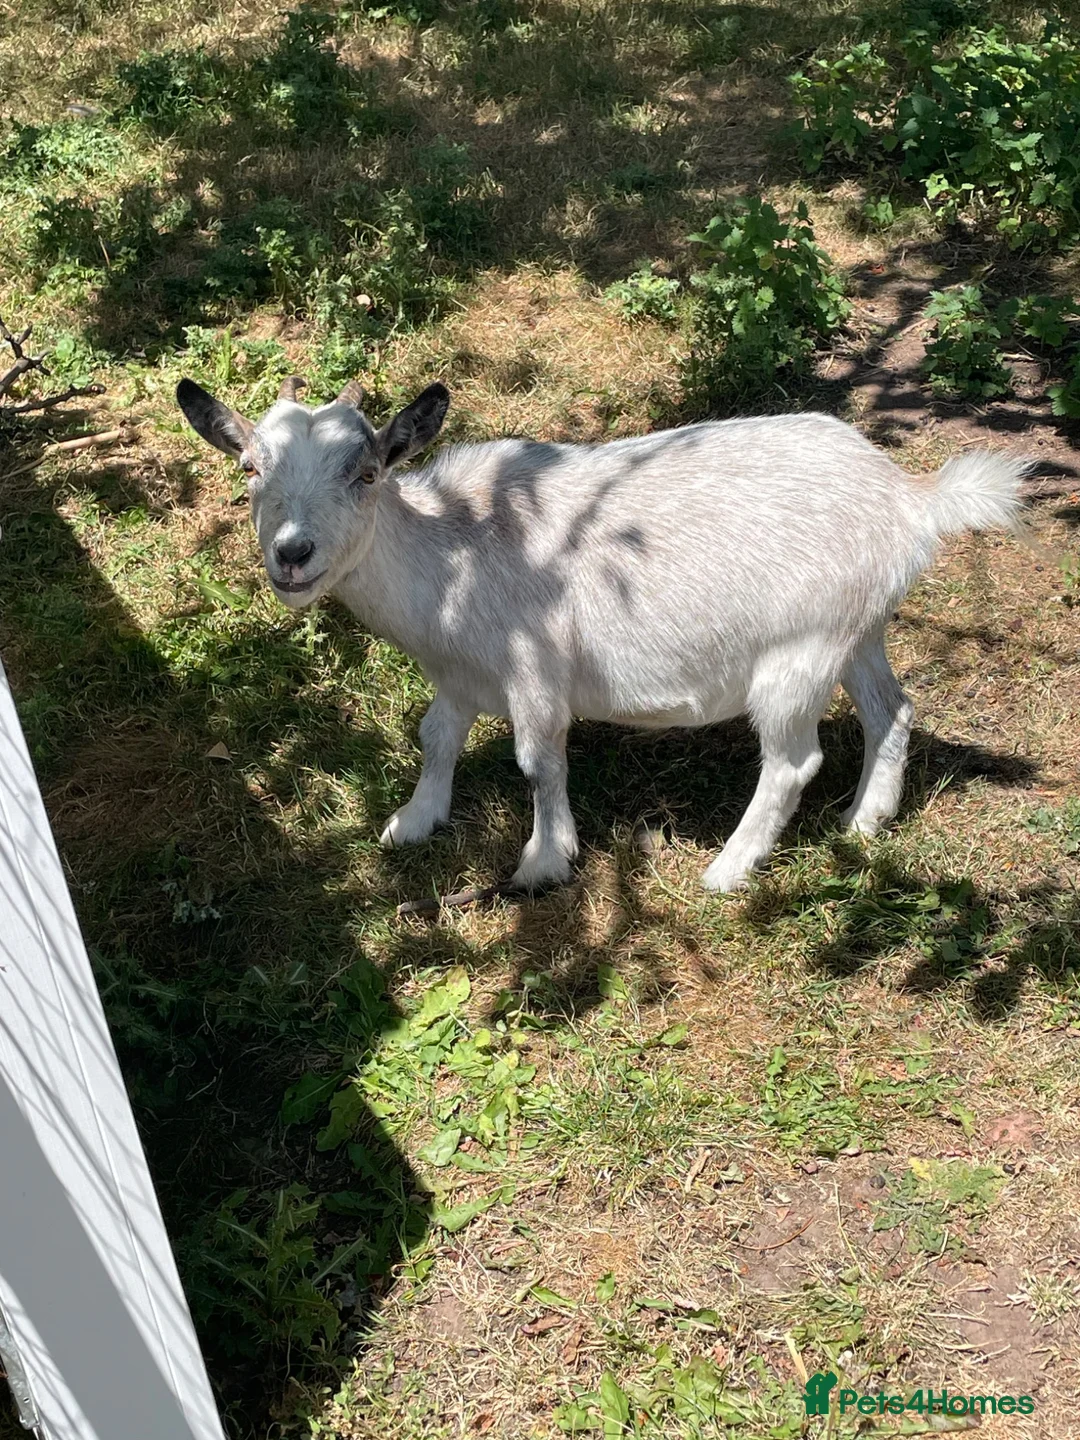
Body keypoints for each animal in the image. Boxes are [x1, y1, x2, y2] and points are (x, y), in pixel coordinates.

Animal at [177, 374, 1029, 893]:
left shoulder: (534, 670)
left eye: (366, 472)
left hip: (799, 653)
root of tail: (912, 499)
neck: (452, 550)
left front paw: (543, 860)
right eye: (250, 468)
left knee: (794, 761)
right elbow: (435, 736)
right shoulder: (459, 674)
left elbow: (540, 762)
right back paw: (865, 822)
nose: (292, 554)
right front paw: (412, 822)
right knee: (894, 708)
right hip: (859, 630)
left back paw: (730, 869)